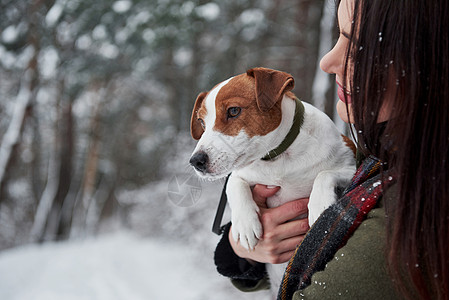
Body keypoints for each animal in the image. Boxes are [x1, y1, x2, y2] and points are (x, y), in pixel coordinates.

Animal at [188, 67, 354, 294]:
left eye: (233, 111)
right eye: (202, 122)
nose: (196, 161)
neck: (278, 157)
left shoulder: (351, 163)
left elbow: (324, 174)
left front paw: (320, 207)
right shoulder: (241, 174)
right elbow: (233, 184)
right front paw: (245, 224)